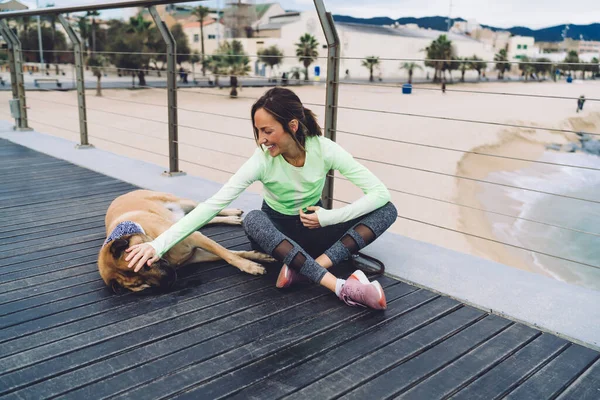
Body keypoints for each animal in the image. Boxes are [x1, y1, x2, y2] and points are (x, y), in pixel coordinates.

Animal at [98, 189, 274, 292]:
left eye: (145, 264)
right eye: (141, 284)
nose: (169, 282)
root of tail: (123, 194)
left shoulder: (196, 237)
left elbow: (228, 254)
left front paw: (250, 266)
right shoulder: (197, 254)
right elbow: (233, 253)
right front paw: (258, 257)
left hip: (183, 202)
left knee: (205, 206)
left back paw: (232, 212)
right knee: (206, 218)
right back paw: (232, 218)